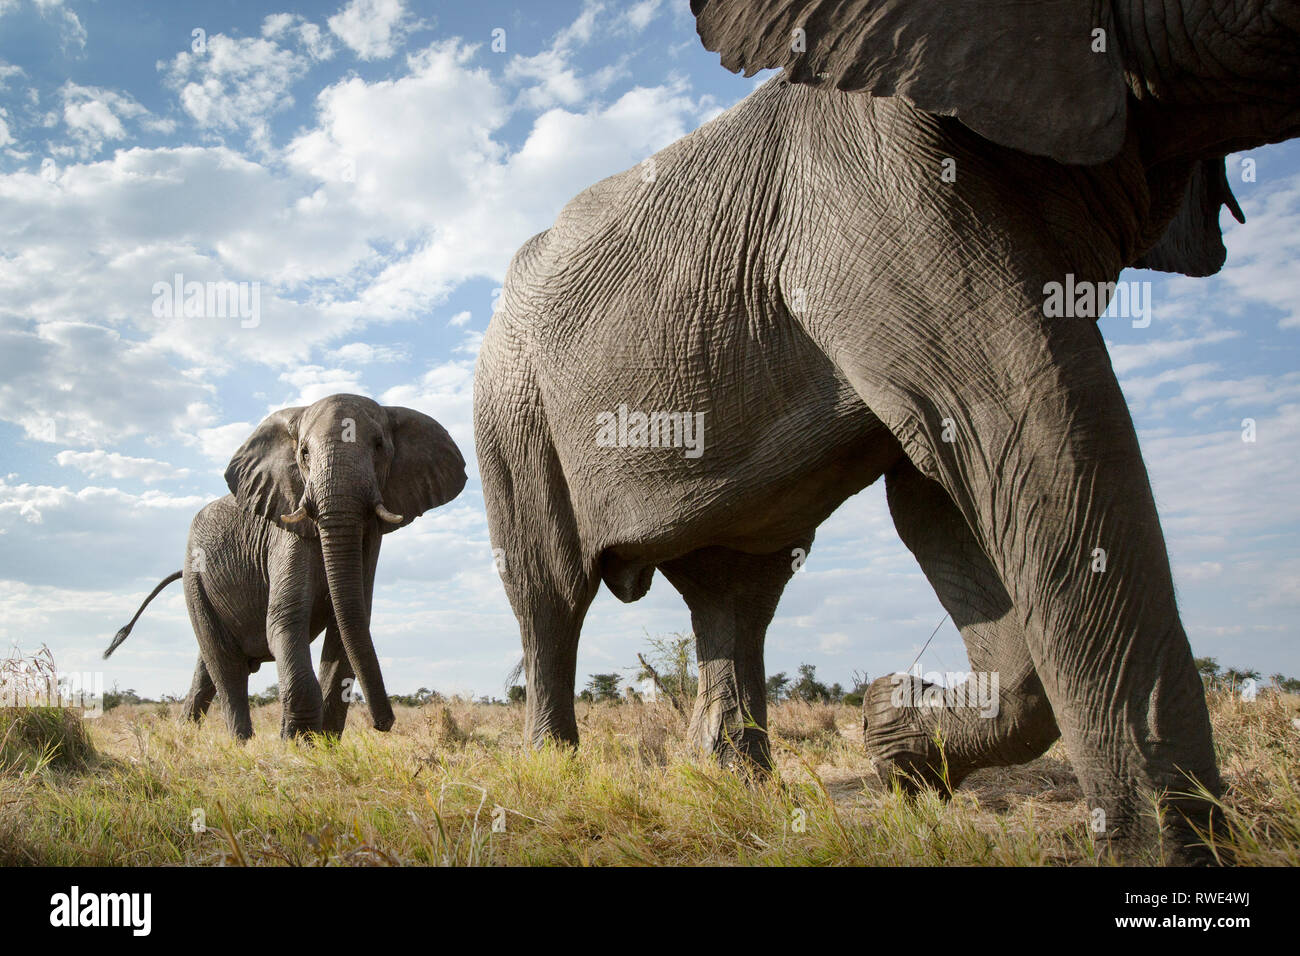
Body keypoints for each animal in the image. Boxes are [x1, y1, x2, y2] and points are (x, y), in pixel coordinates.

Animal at [105, 395, 467, 738]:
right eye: (304, 453)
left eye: (379, 446)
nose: (384, 723)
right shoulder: (286, 532)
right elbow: (286, 618)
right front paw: (298, 746)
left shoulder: (369, 541)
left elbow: (346, 630)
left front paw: (321, 746)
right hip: (195, 582)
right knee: (226, 667)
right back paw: (240, 745)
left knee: (207, 670)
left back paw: (188, 737)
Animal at [475, 0, 1300, 863]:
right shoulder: (881, 184)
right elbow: (1027, 426)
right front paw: (1165, 855)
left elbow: (946, 488)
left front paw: (896, 741)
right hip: (512, 416)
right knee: (549, 593)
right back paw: (555, 778)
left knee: (737, 595)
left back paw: (734, 785)